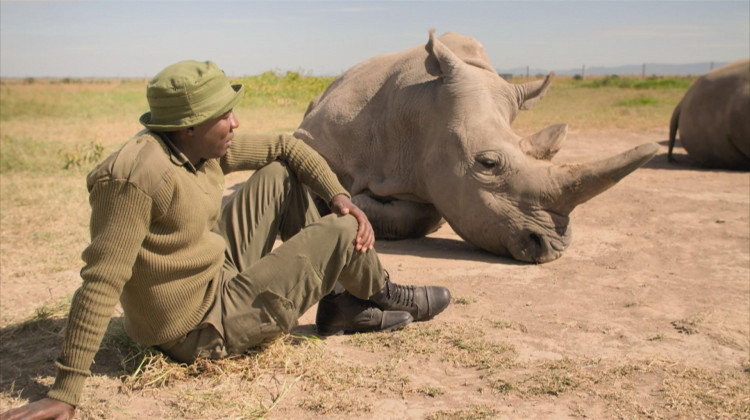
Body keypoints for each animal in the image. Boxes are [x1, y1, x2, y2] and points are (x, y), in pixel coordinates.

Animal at [294, 30, 656, 262]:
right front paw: (330, 203)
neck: (422, 110)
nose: (553, 249)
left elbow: (422, 216)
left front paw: (357, 205)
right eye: (488, 164)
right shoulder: (317, 138)